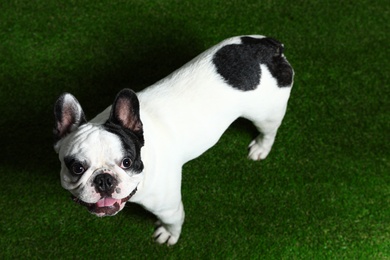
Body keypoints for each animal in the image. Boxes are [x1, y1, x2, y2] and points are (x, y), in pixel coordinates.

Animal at [53, 35, 294, 245]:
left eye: (127, 162)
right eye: (76, 168)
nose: (104, 179)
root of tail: (268, 48)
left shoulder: (168, 207)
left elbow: (173, 221)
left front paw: (169, 234)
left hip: (267, 114)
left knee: (269, 131)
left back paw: (261, 148)